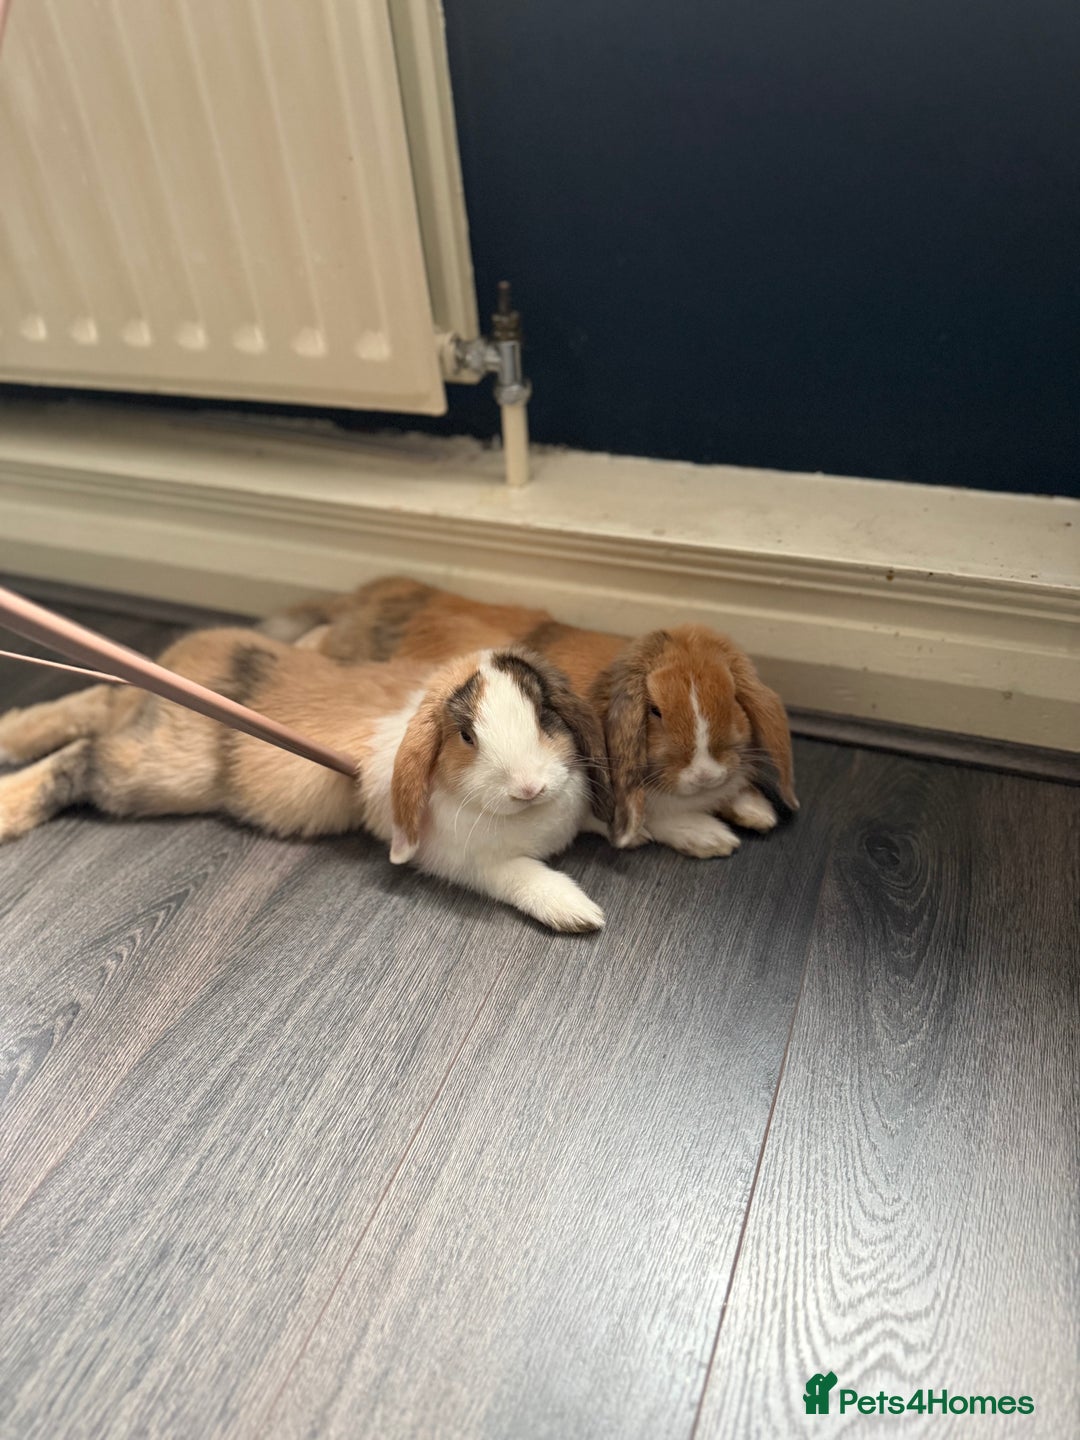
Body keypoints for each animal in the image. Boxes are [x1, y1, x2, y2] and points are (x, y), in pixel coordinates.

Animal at [0, 628, 611, 932]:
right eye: (466, 736)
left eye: (545, 716)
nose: (529, 786)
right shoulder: (464, 860)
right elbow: (518, 875)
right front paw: (580, 914)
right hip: (156, 774)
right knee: (80, 757)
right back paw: (9, 806)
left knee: (93, 704)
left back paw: (11, 733)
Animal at [259, 577, 799, 860]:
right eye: (655, 710)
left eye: (732, 696)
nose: (707, 772)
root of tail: (376, 590)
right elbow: (649, 819)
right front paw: (712, 838)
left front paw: (756, 810)